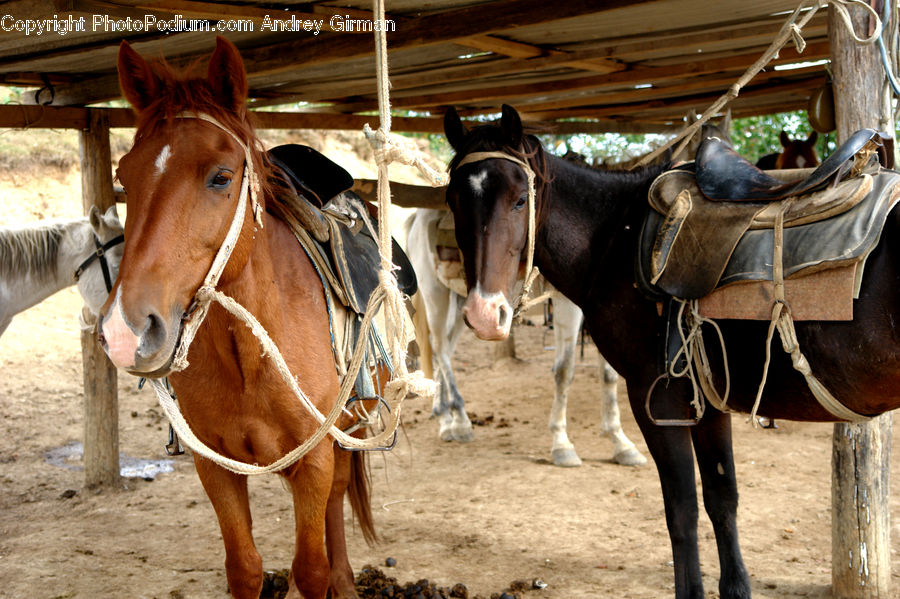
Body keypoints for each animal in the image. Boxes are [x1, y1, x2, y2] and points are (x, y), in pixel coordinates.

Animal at [101, 37, 372, 599]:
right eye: (123, 178)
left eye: (221, 177)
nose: (124, 331)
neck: (251, 354)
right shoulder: (215, 465)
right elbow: (244, 569)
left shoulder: (314, 459)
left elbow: (310, 569)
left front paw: (327, 577)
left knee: (337, 497)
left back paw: (345, 578)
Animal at [408, 210, 648, 468]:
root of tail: (417, 219)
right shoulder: (566, 302)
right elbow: (564, 371)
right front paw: (562, 445)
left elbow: (609, 374)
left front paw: (621, 443)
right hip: (436, 294)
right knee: (440, 348)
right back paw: (460, 421)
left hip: (467, 304)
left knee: (445, 349)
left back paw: (444, 417)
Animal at [442, 104, 900, 599]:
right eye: (452, 200)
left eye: (519, 200)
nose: (484, 314)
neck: (615, 241)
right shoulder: (708, 399)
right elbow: (722, 498)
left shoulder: (657, 399)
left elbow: (682, 510)